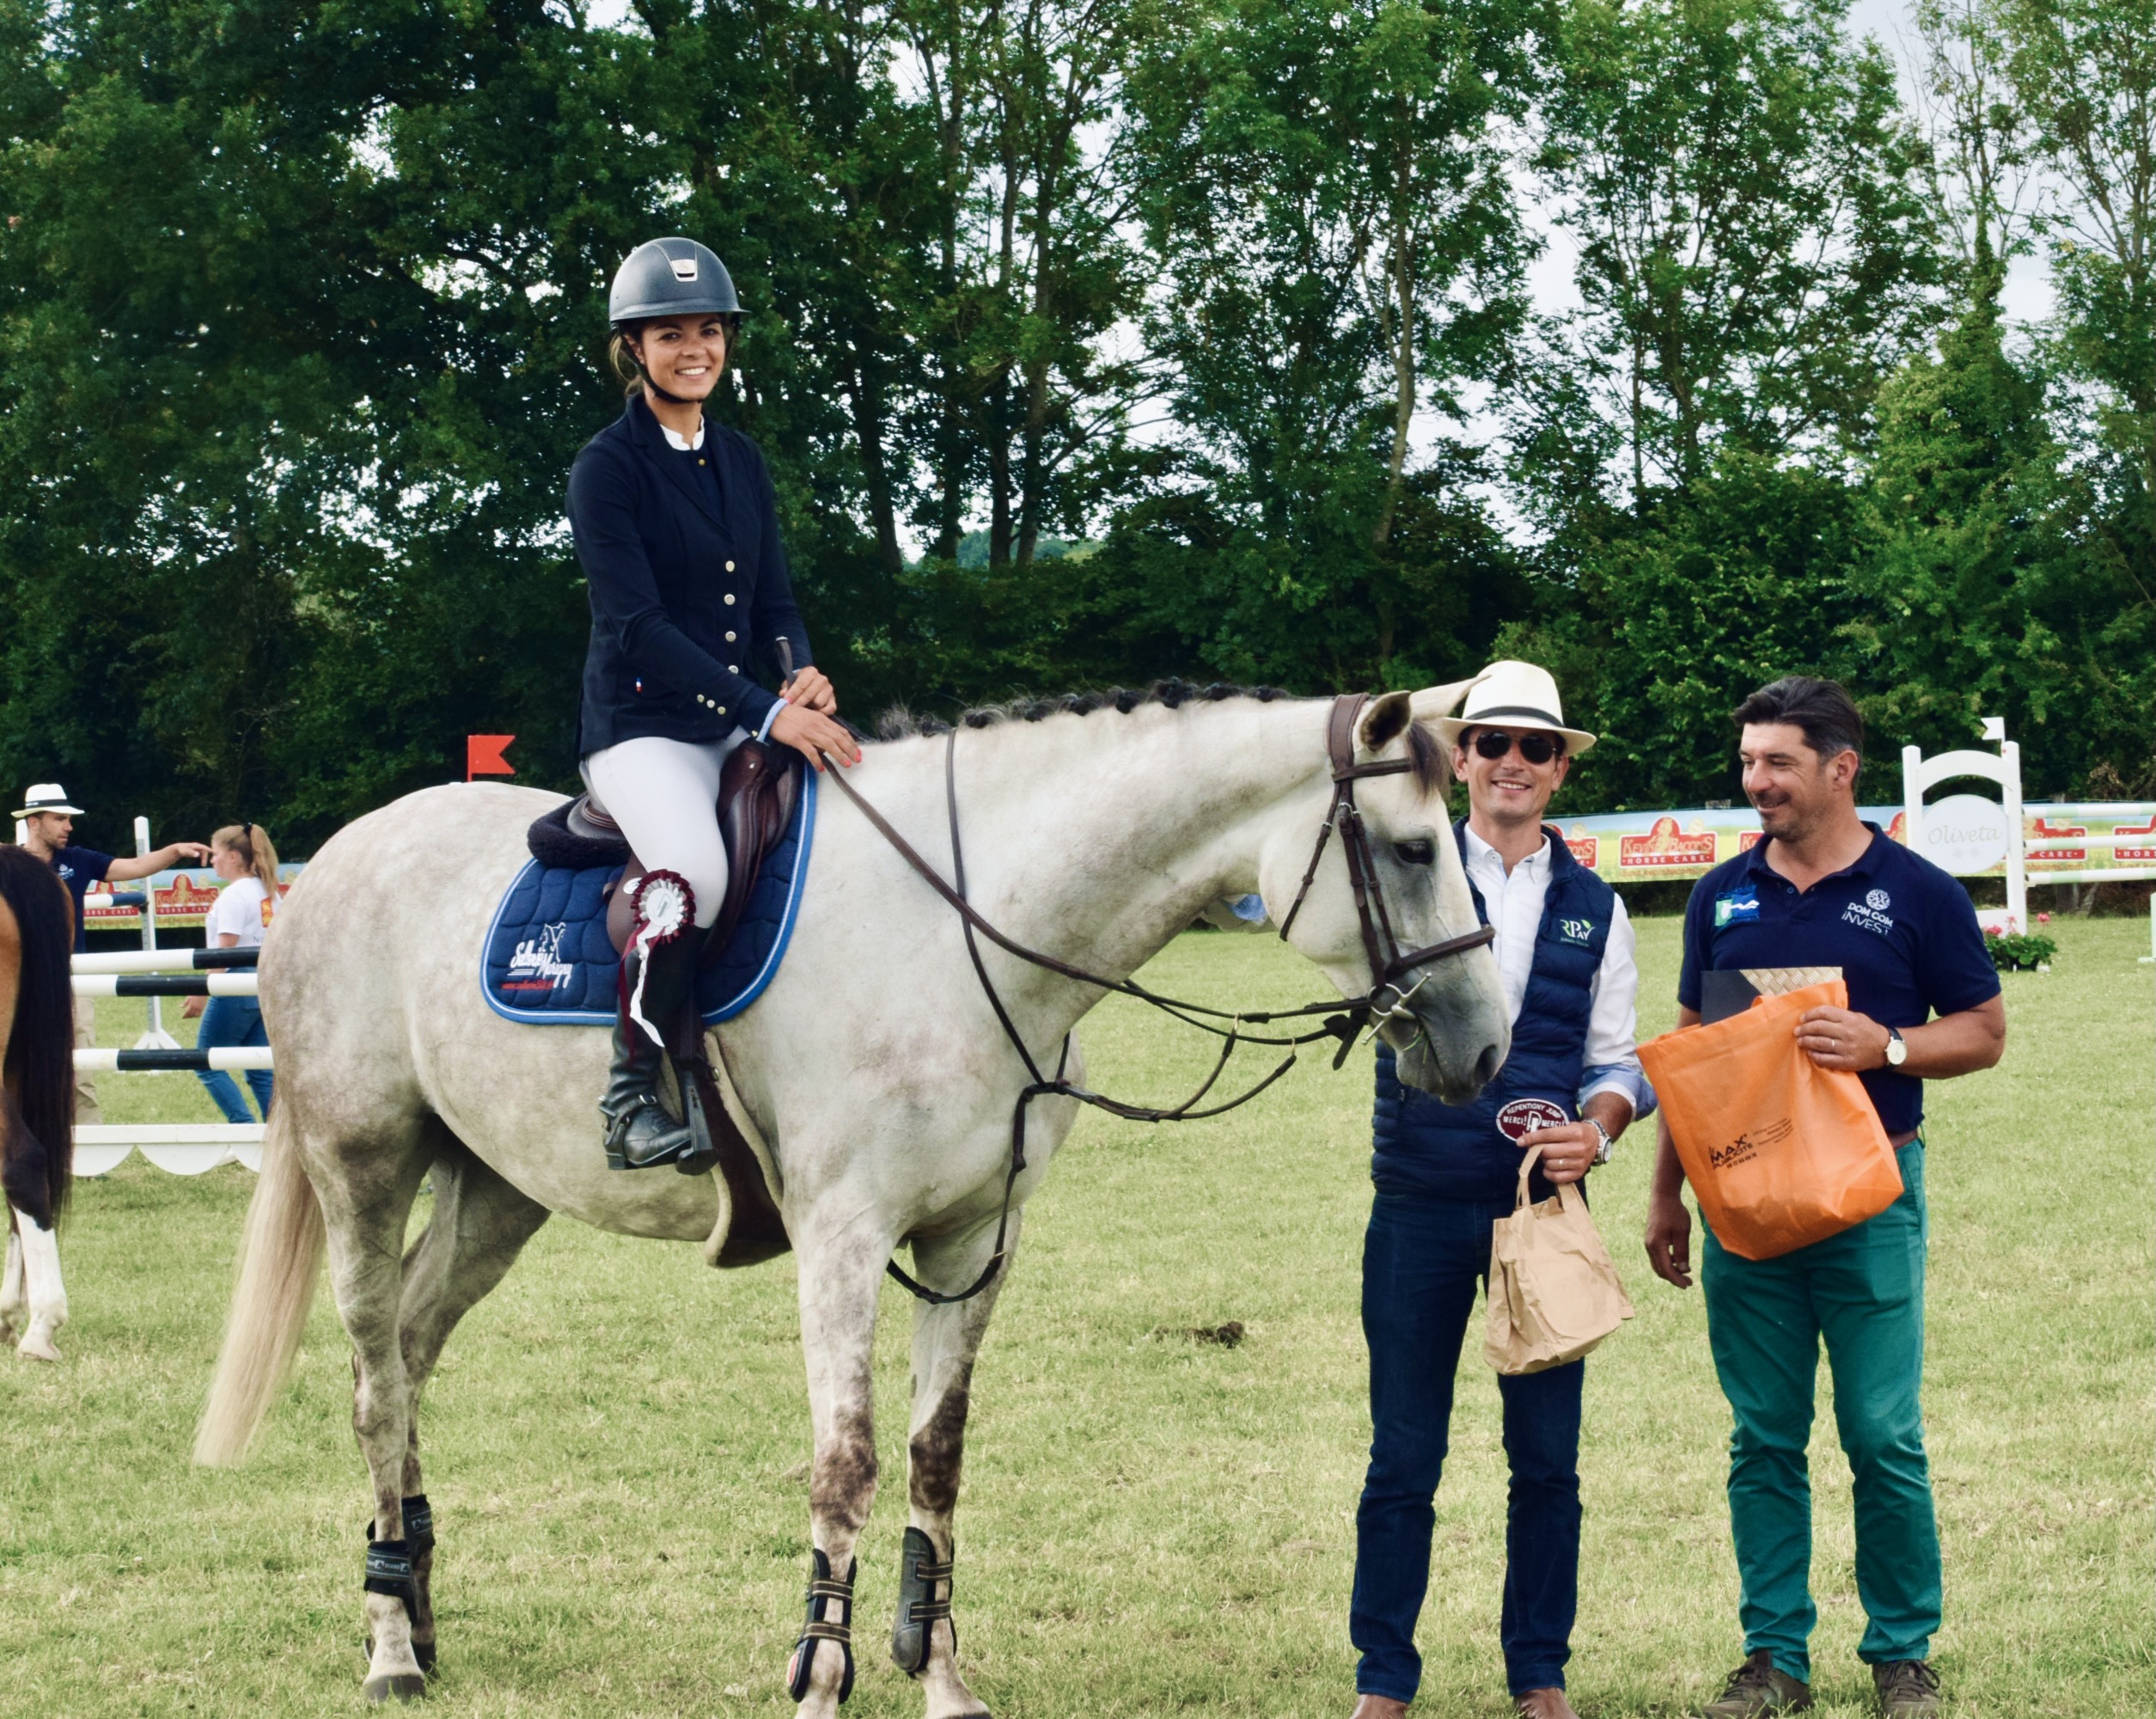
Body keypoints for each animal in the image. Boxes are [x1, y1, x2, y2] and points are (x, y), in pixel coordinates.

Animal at [194, 681, 1511, 1713]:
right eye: (1412, 851)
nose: (1487, 1047)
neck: (961, 933)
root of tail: (335, 861)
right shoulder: (841, 1234)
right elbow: (848, 1463)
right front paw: (820, 1677)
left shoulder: (976, 1235)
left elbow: (934, 1459)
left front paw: (941, 1679)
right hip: (364, 1162)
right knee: (375, 1381)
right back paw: (388, 1648)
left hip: (498, 1186)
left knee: (414, 1348)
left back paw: (417, 1602)